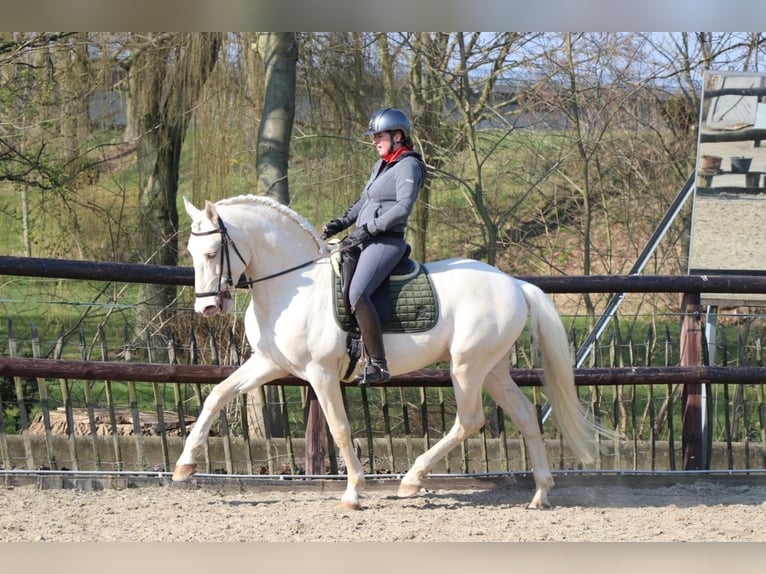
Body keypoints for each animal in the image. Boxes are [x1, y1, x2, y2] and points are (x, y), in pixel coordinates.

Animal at [174, 196, 612, 510]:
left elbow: (340, 428)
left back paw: (412, 480)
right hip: (493, 368)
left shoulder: (321, 373)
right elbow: (217, 395)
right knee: (523, 415)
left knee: (470, 419)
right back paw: (540, 494)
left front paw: (353, 493)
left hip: (467, 367)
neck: (292, 285)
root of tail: (515, 284)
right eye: (192, 254)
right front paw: (185, 465)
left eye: (212, 253)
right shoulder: (269, 363)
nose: (207, 308)